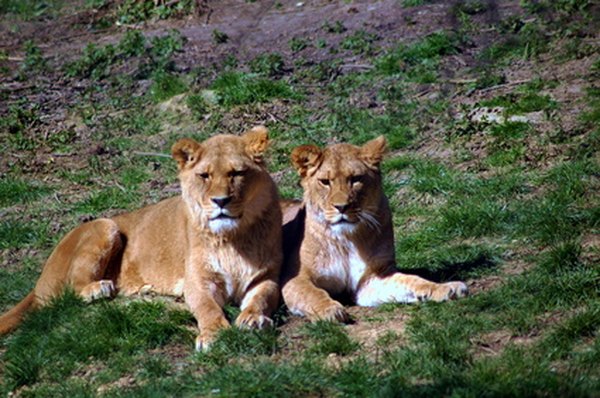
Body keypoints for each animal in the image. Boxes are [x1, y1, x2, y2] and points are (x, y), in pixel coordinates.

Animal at [0, 127, 282, 352]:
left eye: (237, 173)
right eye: (205, 176)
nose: (220, 201)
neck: (231, 237)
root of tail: (40, 280)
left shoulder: (265, 276)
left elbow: (262, 298)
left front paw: (253, 319)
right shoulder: (198, 281)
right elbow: (207, 308)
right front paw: (213, 334)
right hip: (105, 226)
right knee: (71, 290)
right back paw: (97, 288)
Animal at [282, 135, 468, 322]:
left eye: (356, 179)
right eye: (325, 182)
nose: (341, 207)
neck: (346, 239)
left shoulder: (371, 279)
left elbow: (412, 281)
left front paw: (445, 288)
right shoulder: (295, 278)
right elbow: (311, 293)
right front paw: (329, 310)